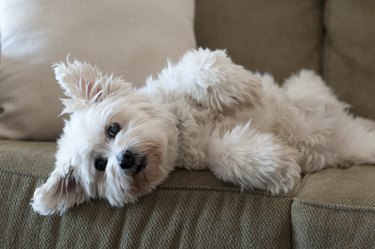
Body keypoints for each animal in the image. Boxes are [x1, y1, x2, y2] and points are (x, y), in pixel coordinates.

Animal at [31, 48, 375, 214]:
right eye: (100, 165)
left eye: (113, 128)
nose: (124, 159)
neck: (182, 128)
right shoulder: (209, 153)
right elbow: (226, 153)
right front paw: (277, 165)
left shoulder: (186, 77)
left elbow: (201, 67)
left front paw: (243, 87)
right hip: (354, 143)